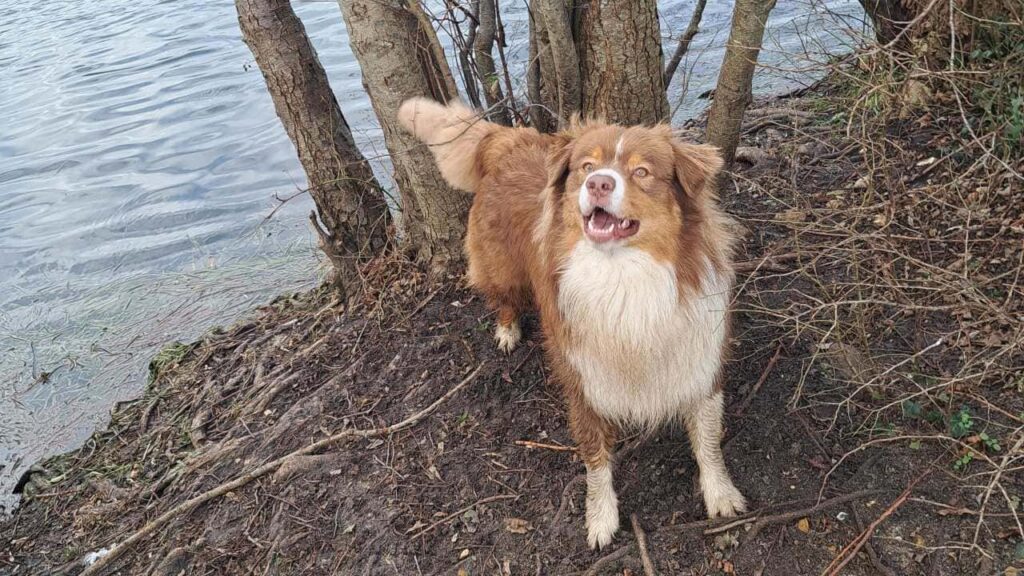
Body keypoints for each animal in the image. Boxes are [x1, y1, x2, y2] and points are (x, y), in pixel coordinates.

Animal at [397, 97, 745, 545]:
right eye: (586, 166)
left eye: (641, 171)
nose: (598, 183)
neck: (623, 277)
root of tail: (510, 139)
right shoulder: (582, 377)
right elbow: (595, 458)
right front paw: (600, 518)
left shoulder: (702, 360)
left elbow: (708, 438)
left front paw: (720, 492)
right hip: (501, 267)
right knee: (502, 297)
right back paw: (507, 330)